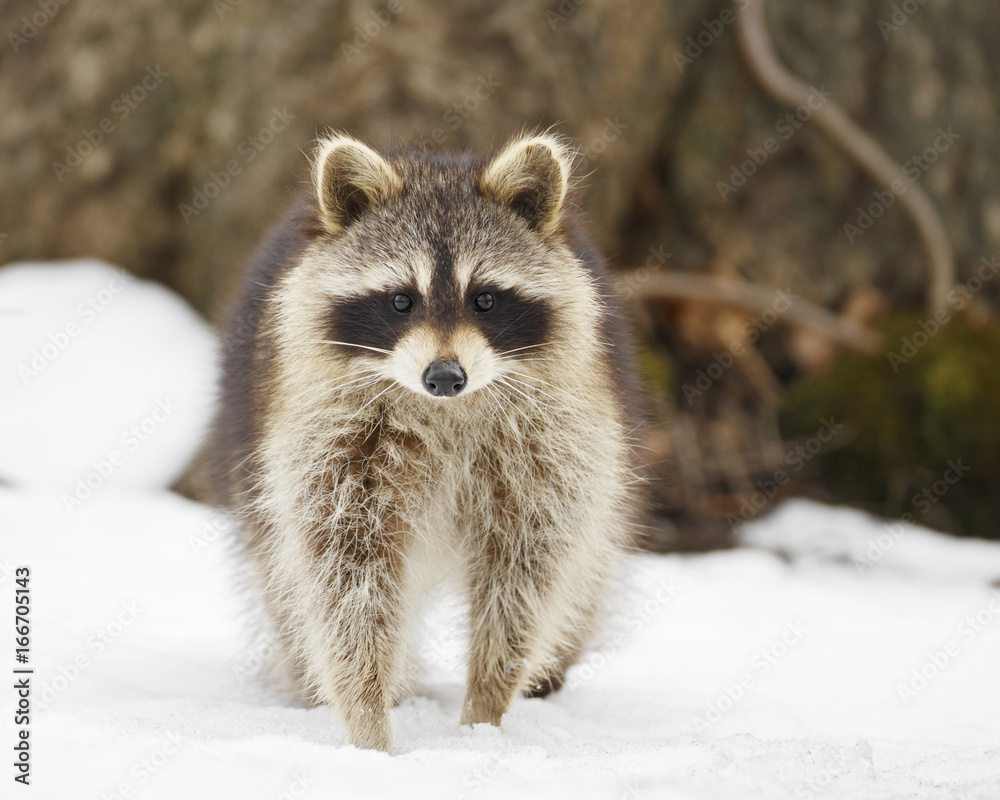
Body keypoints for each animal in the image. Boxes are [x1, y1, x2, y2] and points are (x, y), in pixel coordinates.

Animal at [205, 131, 642, 752]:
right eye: (400, 300)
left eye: (485, 299)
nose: (444, 376)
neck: (444, 413)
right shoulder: (329, 438)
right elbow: (343, 576)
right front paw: (368, 724)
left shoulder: (552, 439)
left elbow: (526, 573)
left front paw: (484, 712)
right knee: (284, 580)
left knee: (583, 576)